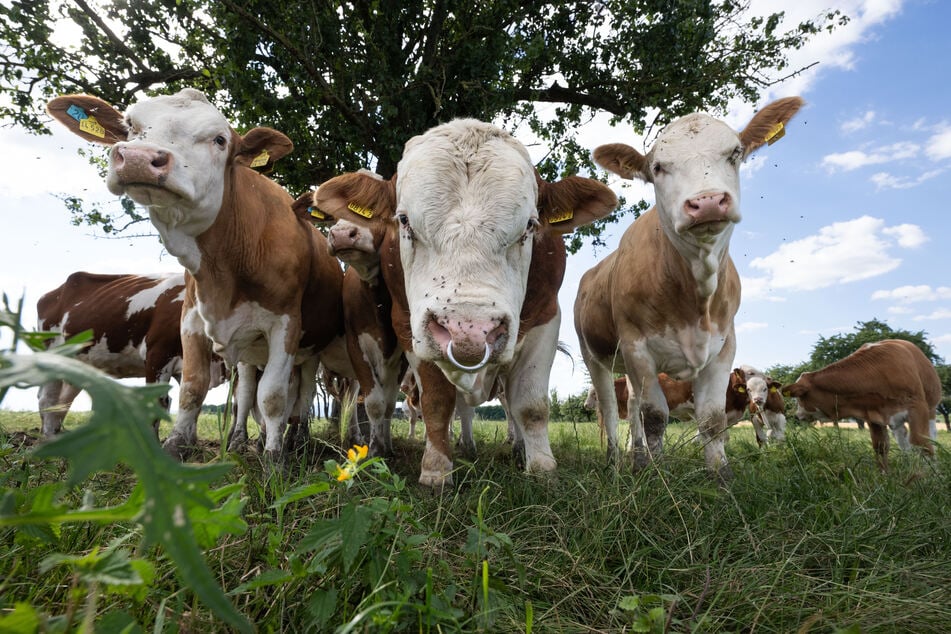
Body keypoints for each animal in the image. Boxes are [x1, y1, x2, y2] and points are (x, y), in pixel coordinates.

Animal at [37, 270, 227, 436]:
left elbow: (192, 399)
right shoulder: (157, 354)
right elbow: (158, 402)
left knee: (62, 401)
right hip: (53, 356)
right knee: (47, 399)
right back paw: (50, 439)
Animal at [316, 118, 620, 484]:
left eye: (529, 225)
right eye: (403, 220)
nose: (469, 331)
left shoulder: (546, 318)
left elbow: (531, 406)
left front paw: (542, 469)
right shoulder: (407, 329)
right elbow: (434, 403)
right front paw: (435, 470)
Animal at [576, 96, 808, 476]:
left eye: (735, 152)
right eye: (657, 167)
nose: (708, 201)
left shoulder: (723, 348)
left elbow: (711, 421)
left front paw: (720, 477)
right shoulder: (637, 347)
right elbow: (655, 417)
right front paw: (657, 476)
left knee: (633, 408)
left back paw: (637, 457)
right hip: (596, 355)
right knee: (611, 410)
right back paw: (615, 461)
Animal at [780, 336, 944, 470]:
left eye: (799, 399)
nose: (797, 415)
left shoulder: (917, 409)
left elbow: (923, 444)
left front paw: (930, 477)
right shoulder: (873, 415)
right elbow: (880, 447)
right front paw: (885, 477)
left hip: (931, 409)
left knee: (931, 436)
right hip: (896, 420)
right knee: (902, 438)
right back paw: (908, 463)